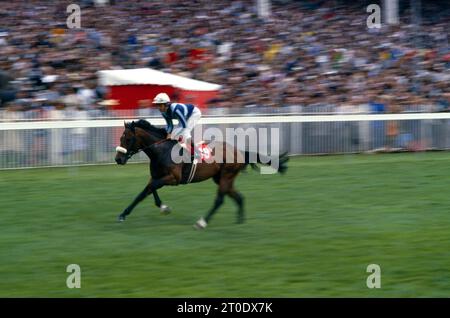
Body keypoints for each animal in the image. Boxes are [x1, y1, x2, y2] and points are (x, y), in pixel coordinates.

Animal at [113, 119, 288, 229]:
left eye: (127, 139)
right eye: (121, 137)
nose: (118, 159)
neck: (162, 151)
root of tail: (239, 151)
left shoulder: (173, 178)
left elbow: (147, 190)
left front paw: (124, 214)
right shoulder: (157, 176)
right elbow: (148, 190)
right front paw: (161, 208)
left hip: (226, 176)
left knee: (219, 200)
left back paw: (202, 222)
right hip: (222, 178)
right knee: (238, 196)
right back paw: (240, 221)